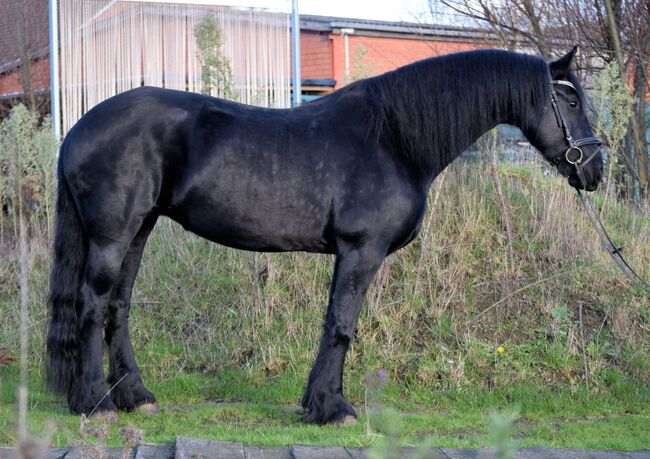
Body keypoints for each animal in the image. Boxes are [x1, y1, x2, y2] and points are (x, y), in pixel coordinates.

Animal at [45, 48, 604, 426]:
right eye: (569, 96)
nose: (594, 169)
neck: (392, 138)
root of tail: (77, 129)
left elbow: (337, 325)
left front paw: (319, 403)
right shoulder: (360, 251)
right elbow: (341, 325)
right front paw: (332, 408)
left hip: (140, 229)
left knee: (118, 308)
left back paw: (136, 397)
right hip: (113, 235)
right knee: (92, 305)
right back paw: (94, 403)